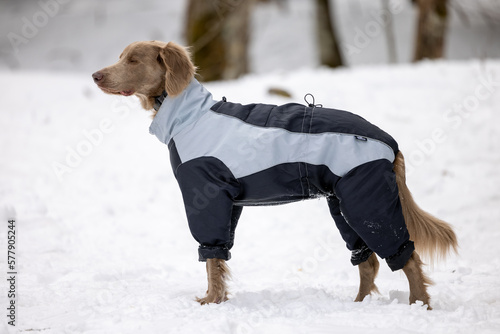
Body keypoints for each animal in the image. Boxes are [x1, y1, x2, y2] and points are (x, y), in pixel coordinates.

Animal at [92, 40, 458, 306]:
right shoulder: (230, 204)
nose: (96, 75)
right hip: (345, 205)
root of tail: (389, 140)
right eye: (121, 57)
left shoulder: (207, 196)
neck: (189, 114)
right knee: (367, 261)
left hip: (368, 202)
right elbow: (219, 258)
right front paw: (217, 298)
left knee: (407, 258)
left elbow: (211, 257)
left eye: (133, 61)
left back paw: (418, 306)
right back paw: (359, 305)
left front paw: (210, 302)